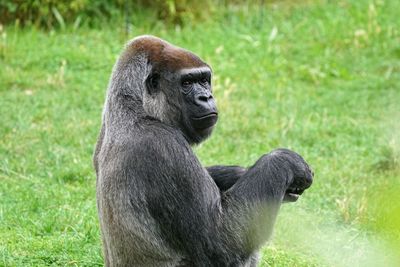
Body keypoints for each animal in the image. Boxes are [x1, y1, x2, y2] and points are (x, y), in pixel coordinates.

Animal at [93, 36, 312, 267]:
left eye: (204, 80)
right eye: (187, 83)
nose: (206, 97)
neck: (134, 106)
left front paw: (240, 173)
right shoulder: (162, 145)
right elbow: (221, 239)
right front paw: (284, 161)